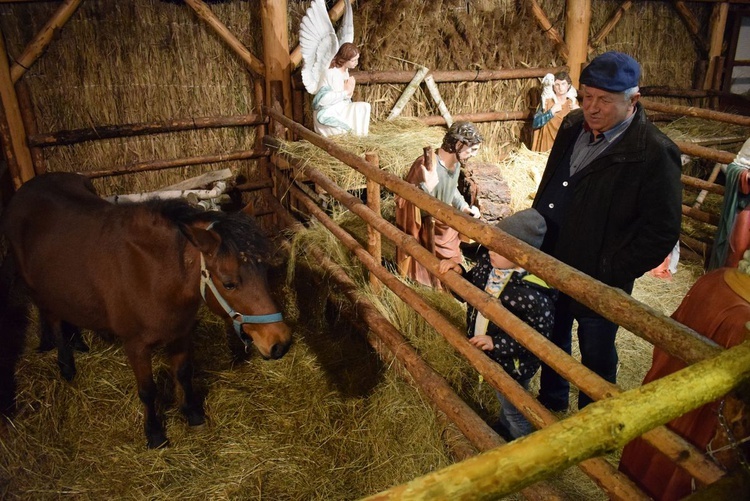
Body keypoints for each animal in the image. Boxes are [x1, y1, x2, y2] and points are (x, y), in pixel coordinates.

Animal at [1, 172, 292, 446]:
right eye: (230, 283)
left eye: (264, 270)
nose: (281, 343)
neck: (152, 274)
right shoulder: (136, 345)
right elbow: (148, 390)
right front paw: (154, 434)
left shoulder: (180, 333)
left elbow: (183, 374)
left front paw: (193, 414)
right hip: (38, 289)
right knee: (53, 320)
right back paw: (66, 366)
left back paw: (79, 344)